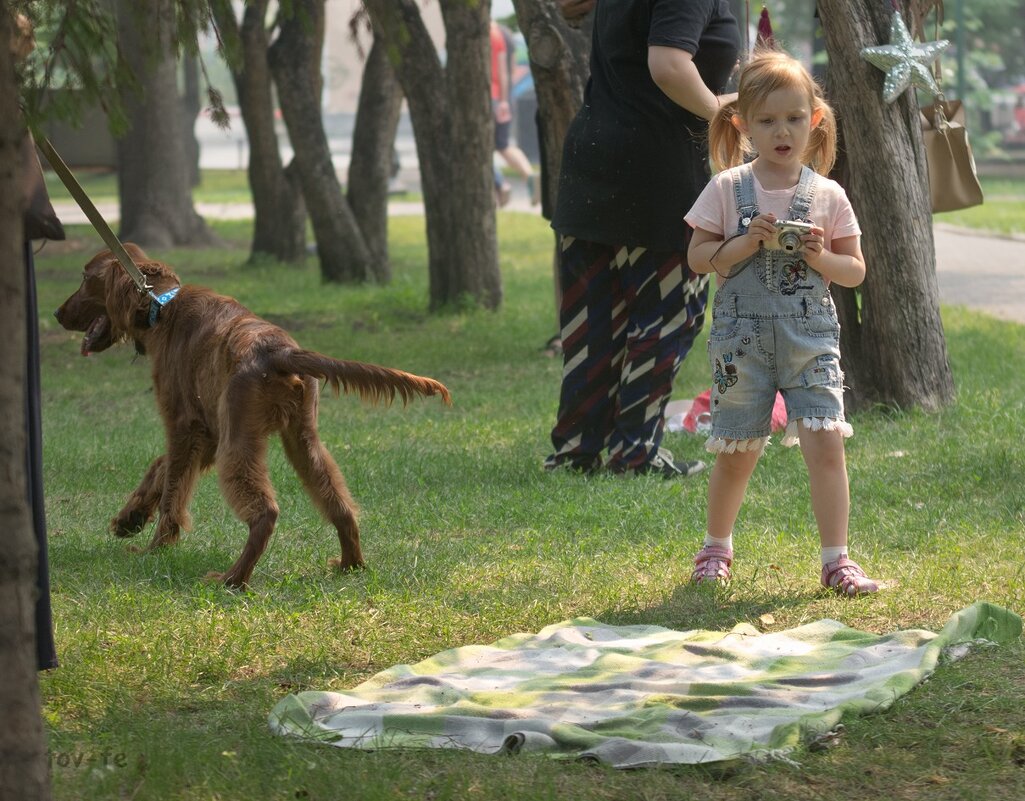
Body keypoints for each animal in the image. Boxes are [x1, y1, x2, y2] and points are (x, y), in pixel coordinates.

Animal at [55, 244, 448, 586]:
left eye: (85, 278)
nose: (58, 314)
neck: (161, 306)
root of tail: (280, 351)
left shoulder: (185, 426)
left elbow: (173, 491)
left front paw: (155, 548)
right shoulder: (207, 432)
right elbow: (160, 468)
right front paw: (130, 519)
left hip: (239, 440)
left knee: (266, 513)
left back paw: (232, 579)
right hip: (301, 439)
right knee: (339, 504)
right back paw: (350, 564)